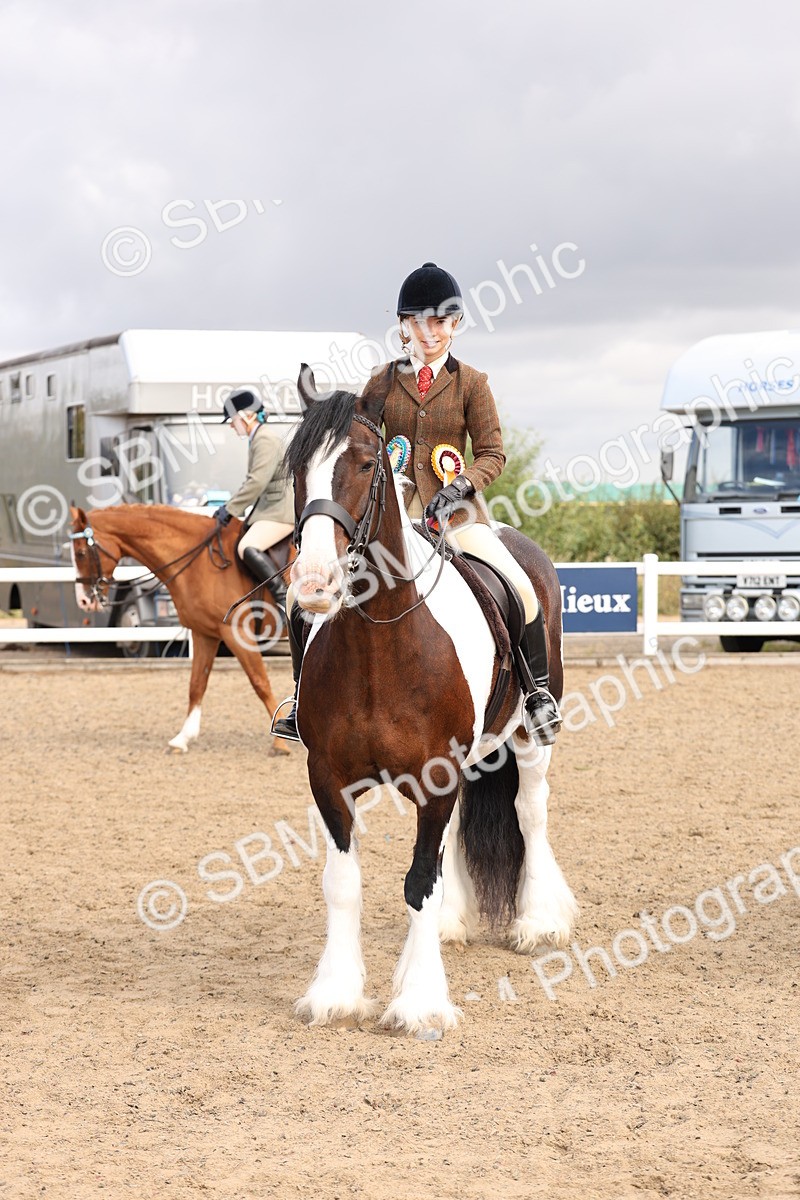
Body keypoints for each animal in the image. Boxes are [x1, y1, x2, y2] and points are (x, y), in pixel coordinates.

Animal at [68, 504, 294, 755]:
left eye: (81, 553)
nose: (83, 601)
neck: (200, 562)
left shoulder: (235, 633)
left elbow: (260, 683)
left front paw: (279, 742)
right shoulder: (205, 633)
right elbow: (196, 685)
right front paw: (182, 738)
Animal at [286, 367, 578, 1034]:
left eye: (363, 463)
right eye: (294, 468)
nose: (312, 584)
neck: (380, 644)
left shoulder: (435, 774)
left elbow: (419, 878)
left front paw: (419, 1002)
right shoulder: (328, 776)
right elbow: (343, 882)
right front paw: (336, 992)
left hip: (529, 736)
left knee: (531, 813)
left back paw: (537, 922)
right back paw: (451, 925)